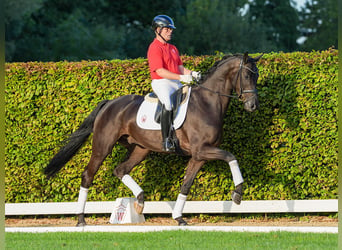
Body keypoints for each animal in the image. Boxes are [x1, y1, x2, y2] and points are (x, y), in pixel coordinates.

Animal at [44, 51, 262, 226]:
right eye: (246, 75)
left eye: (257, 75)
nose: (253, 106)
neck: (207, 103)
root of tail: (109, 103)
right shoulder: (202, 150)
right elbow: (231, 156)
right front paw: (238, 193)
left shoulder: (199, 156)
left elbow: (186, 184)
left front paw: (179, 218)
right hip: (102, 147)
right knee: (88, 175)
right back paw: (81, 219)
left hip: (140, 149)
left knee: (120, 170)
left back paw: (140, 200)